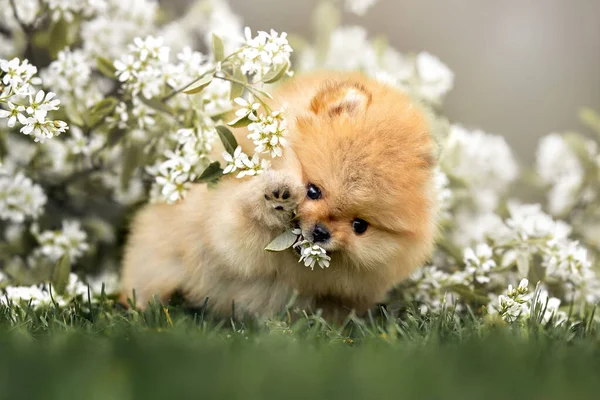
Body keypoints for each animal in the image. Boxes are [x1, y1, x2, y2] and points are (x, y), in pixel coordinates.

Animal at [120, 70, 440, 322]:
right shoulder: (221, 219)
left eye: (359, 226)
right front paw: (276, 194)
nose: (321, 233)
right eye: (313, 190)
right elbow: (239, 226)